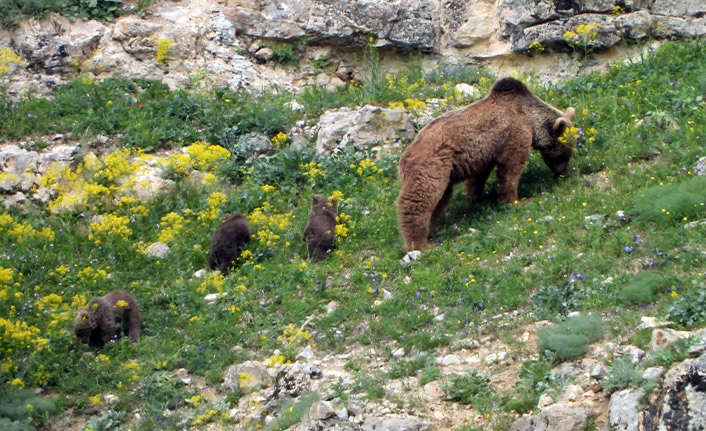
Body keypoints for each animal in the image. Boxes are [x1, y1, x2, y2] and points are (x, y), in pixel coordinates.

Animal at [396, 77, 572, 253]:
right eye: (566, 152)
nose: (563, 174)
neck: (531, 119)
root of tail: (405, 156)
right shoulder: (515, 133)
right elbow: (510, 168)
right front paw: (515, 200)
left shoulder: (485, 152)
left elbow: (478, 177)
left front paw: (481, 199)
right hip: (432, 166)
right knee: (420, 199)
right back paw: (420, 244)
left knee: (441, 197)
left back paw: (432, 229)